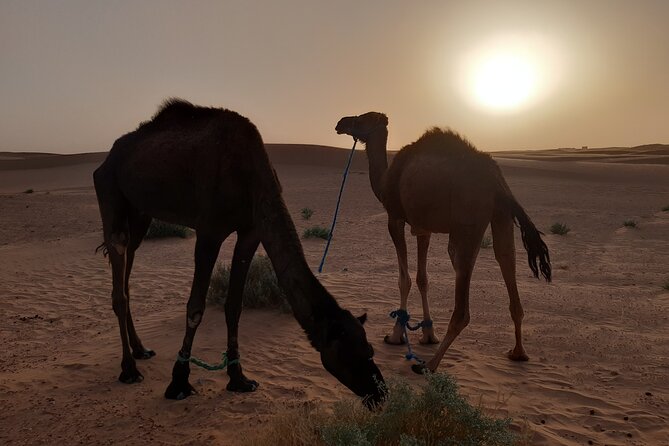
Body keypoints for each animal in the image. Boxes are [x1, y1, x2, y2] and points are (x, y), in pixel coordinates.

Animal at [94, 98, 386, 404]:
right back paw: (129, 369)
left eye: (370, 350)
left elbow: (234, 305)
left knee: (129, 261)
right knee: (118, 265)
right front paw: (179, 381)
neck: (251, 175)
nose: (380, 393)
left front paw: (239, 378)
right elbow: (195, 307)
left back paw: (141, 350)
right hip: (109, 190)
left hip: (140, 212)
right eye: (352, 354)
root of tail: (107, 158)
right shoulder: (209, 231)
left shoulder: (250, 231)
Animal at [334, 111, 548, 372]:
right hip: (501, 216)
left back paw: (429, 365)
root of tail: (496, 179)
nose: (341, 123)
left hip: (467, 222)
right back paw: (518, 352)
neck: (385, 182)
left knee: (462, 298)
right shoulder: (423, 228)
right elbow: (422, 279)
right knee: (506, 259)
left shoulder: (395, 218)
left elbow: (404, 279)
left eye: (362, 119)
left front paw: (395, 336)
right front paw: (427, 334)